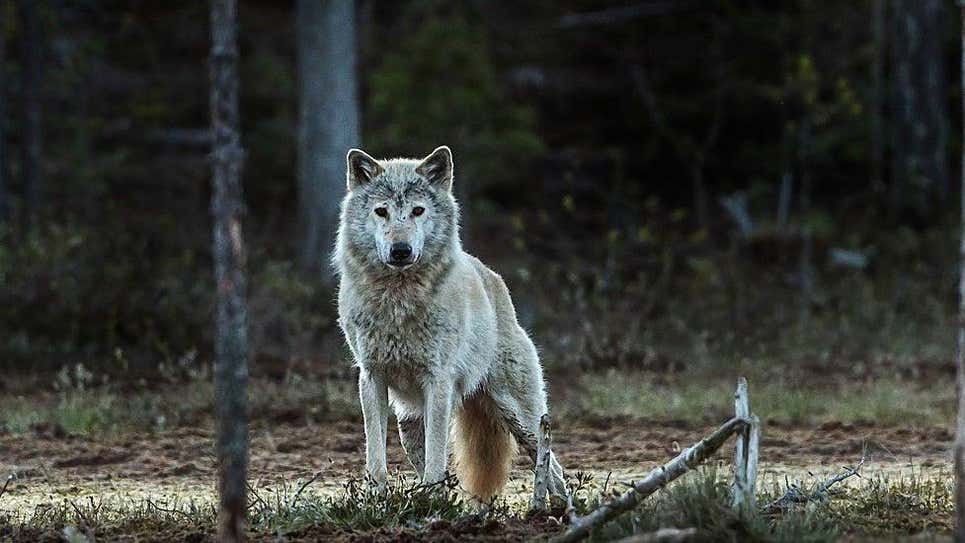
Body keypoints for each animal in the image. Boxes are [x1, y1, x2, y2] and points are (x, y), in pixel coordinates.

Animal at [333, 145, 566, 501]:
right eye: (381, 212)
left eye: (417, 211)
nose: (400, 250)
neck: (399, 301)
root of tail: (494, 279)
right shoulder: (371, 378)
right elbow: (376, 456)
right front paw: (377, 499)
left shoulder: (438, 381)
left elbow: (437, 458)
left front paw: (431, 499)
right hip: (409, 425)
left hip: (522, 418)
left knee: (553, 468)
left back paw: (557, 508)